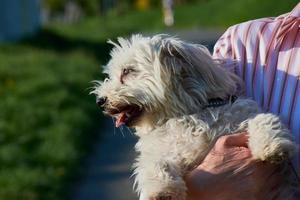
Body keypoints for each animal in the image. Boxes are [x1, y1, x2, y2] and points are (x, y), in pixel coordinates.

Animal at [92, 34, 298, 200]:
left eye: (127, 71)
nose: (100, 101)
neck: (186, 115)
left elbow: (263, 119)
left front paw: (270, 145)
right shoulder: (165, 154)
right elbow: (152, 162)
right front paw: (161, 190)